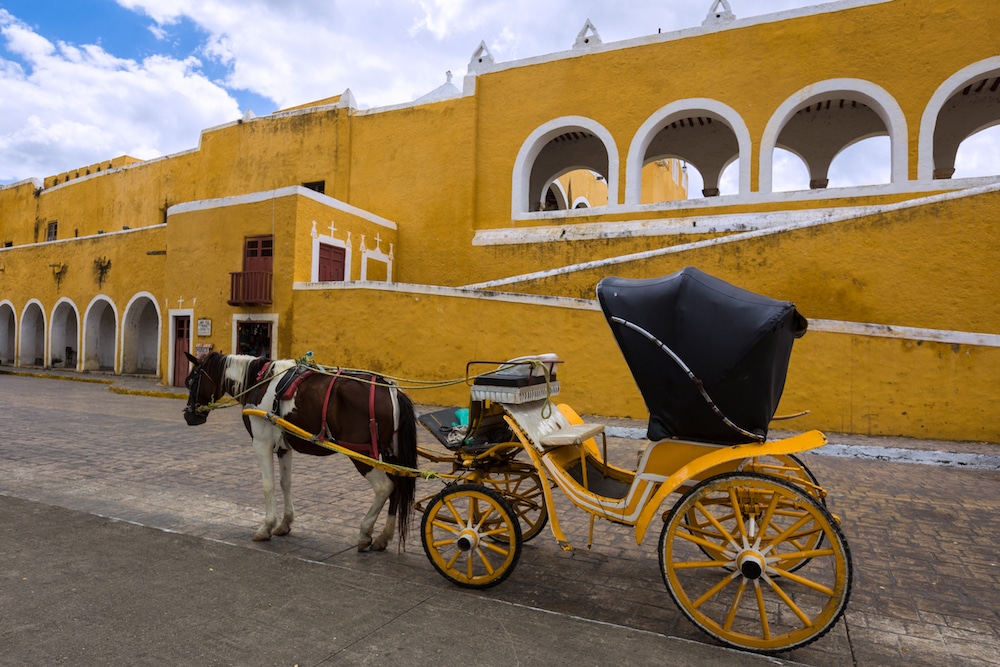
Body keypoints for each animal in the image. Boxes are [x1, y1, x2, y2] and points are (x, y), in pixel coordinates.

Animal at [183, 352, 418, 552]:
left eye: (191, 381)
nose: (188, 415)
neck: (259, 381)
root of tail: (391, 390)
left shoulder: (261, 443)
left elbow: (268, 485)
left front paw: (266, 527)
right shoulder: (284, 447)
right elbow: (285, 483)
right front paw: (285, 523)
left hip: (363, 454)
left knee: (384, 487)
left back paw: (365, 532)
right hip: (390, 453)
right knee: (398, 486)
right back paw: (383, 537)